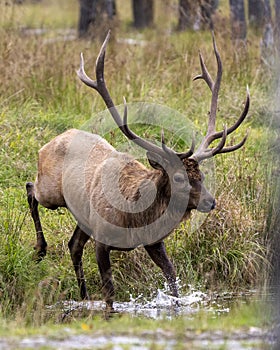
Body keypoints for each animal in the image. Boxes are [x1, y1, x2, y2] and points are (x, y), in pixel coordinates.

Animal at [26, 31, 249, 310]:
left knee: (73, 245)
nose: (211, 202)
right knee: (31, 189)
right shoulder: (102, 237)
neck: (135, 216)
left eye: (203, 175)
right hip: (51, 192)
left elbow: (172, 279)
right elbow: (110, 292)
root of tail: (55, 138)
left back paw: (84, 297)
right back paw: (40, 250)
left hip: (82, 216)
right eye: (178, 177)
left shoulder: (154, 241)